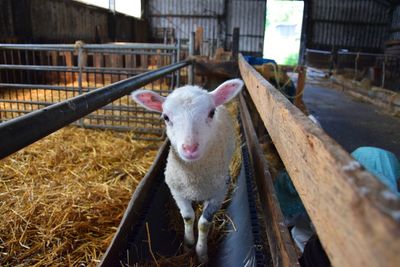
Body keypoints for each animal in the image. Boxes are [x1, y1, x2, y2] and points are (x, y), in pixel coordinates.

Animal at [132, 79, 244, 264]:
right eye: (166, 117)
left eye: (211, 113)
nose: (190, 148)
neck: (194, 181)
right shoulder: (177, 190)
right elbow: (188, 216)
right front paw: (188, 244)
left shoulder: (219, 192)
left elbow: (204, 224)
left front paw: (202, 253)